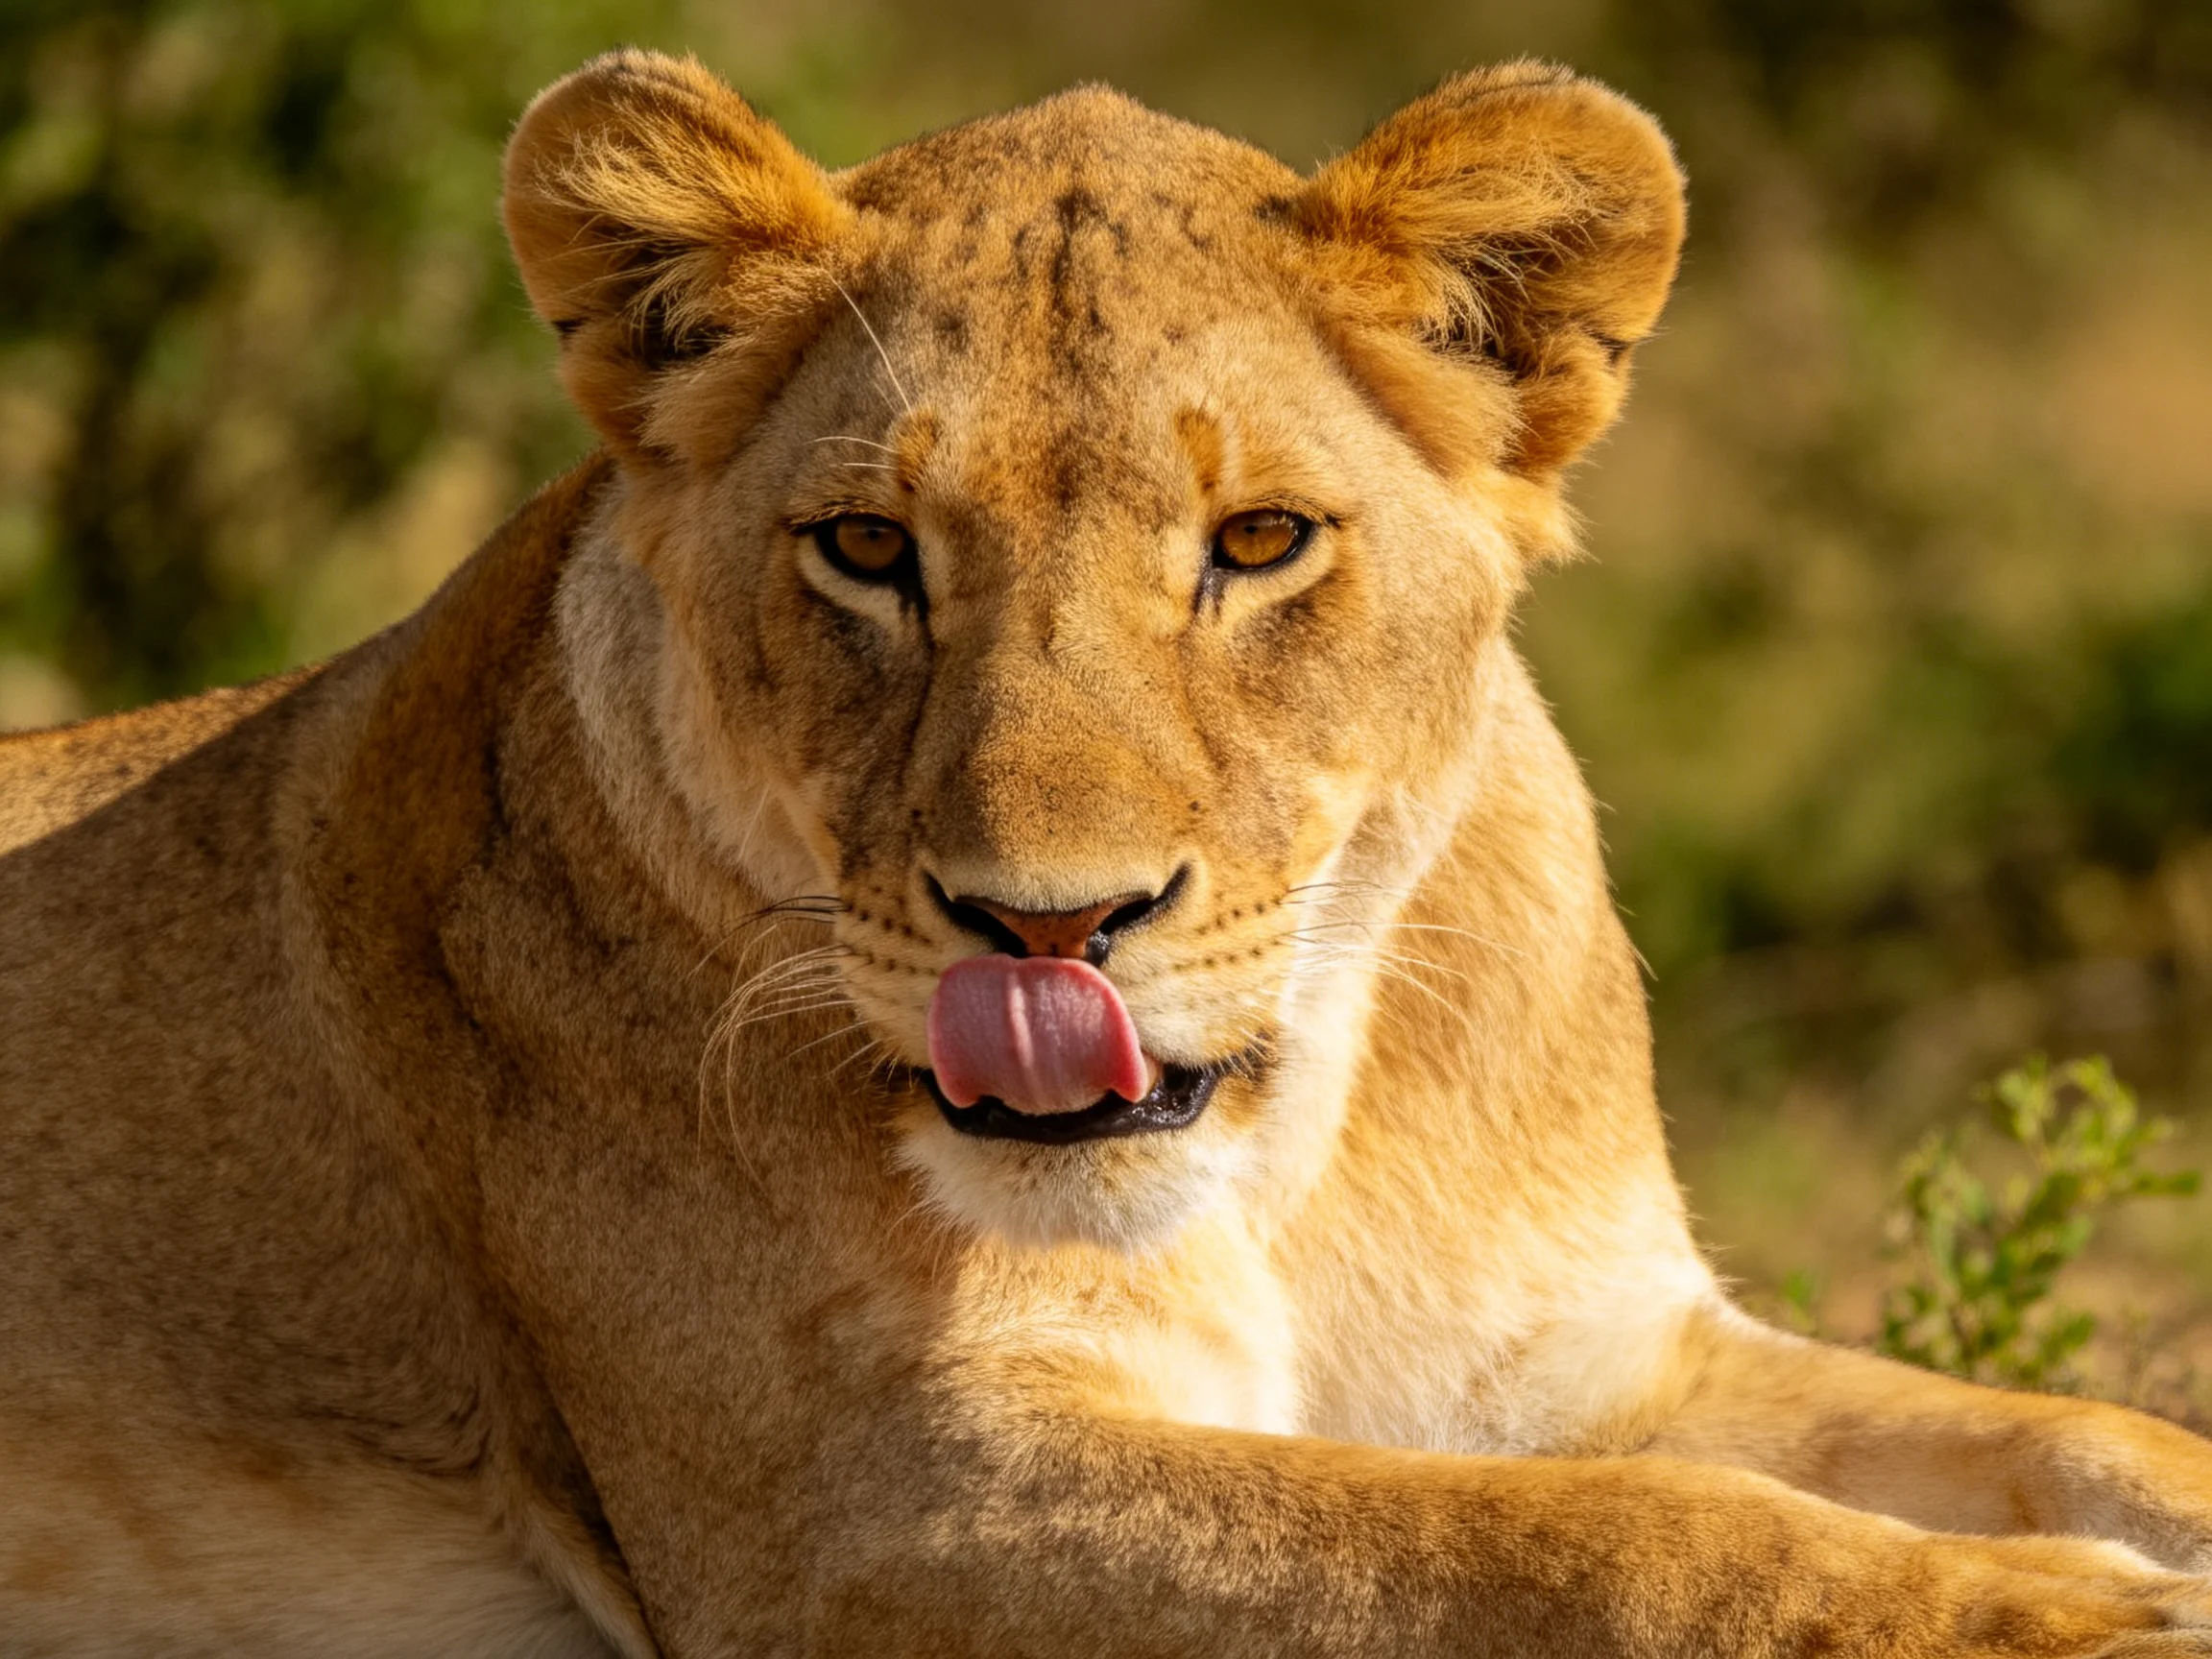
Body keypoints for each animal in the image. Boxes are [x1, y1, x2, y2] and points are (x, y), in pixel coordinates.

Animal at [4, 47, 2212, 1657]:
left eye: (1258, 542)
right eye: (867, 546)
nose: (1044, 927)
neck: (1293, 1157)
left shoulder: (1588, 1357)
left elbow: (2077, 1430)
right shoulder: (886, 1504)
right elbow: (1589, 1547)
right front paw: (2083, 1621)